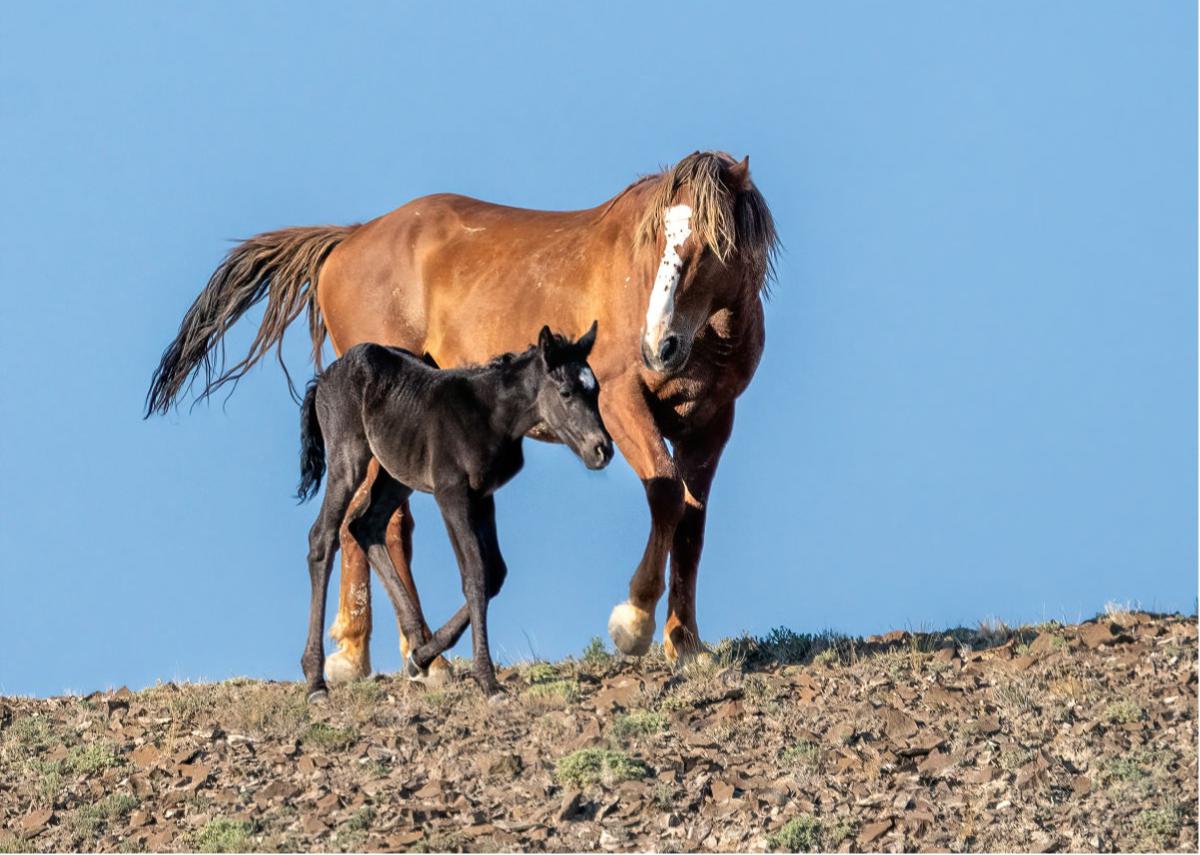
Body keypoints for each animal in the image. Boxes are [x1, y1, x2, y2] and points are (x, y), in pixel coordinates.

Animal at [296, 324, 614, 696]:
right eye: (565, 392)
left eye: (596, 390)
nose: (602, 450)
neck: (491, 416)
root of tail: (324, 378)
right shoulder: (451, 493)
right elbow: (475, 575)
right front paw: (488, 681)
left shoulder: (483, 496)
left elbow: (495, 573)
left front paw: (422, 656)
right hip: (349, 459)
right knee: (322, 537)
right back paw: (315, 680)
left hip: (396, 473)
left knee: (365, 525)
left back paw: (418, 649)